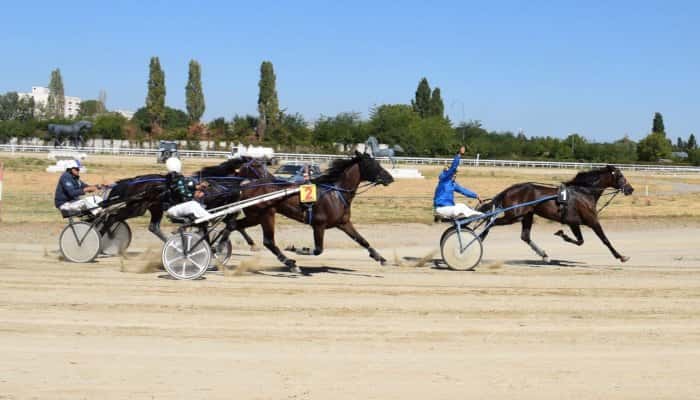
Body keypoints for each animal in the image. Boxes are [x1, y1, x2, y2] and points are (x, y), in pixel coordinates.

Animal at [211, 152, 396, 274]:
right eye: (374, 165)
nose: (390, 178)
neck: (335, 193)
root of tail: (246, 185)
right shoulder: (318, 225)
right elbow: (318, 249)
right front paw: (297, 249)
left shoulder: (343, 223)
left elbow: (362, 240)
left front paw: (380, 258)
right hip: (266, 214)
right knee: (268, 241)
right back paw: (290, 263)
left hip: (255, 216)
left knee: (233, 224)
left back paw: (218, 247)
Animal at [476, 165, 636, 262]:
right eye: (620, 175)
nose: (630, 189)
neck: (584, 192)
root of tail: (509, 190)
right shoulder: (592, 221)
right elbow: (605, 240)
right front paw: (621, 256)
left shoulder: (573, 222)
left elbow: (580, 241)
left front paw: (561, 234)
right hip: (513, 216)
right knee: (491, 222)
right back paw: (480, 238)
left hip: (527, 215)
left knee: (525, 236)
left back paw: (545, 256)